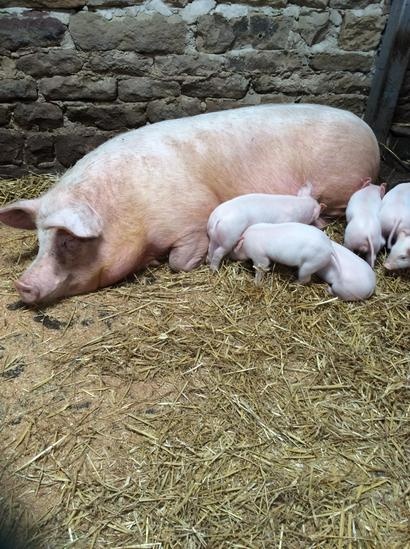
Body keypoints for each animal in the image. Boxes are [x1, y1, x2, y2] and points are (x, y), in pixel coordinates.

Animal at [0, 103, 379, 304]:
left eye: (67, 241)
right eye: (39, 240)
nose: (22, 285)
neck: (131, 210)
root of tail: (370, 133)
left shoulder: (193, 219)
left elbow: (179, 262)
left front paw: (166, 263)